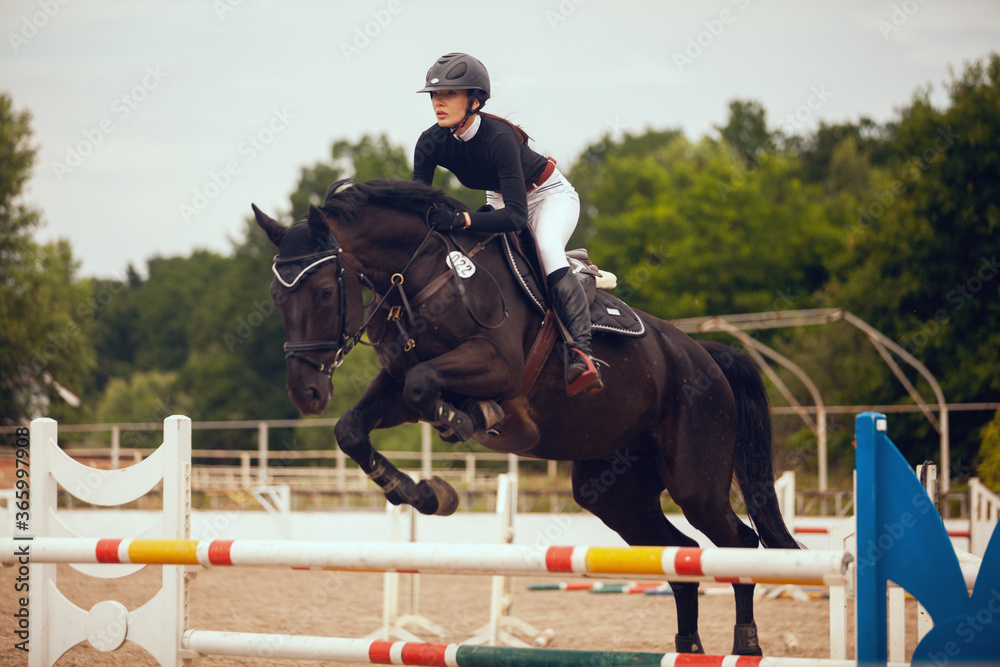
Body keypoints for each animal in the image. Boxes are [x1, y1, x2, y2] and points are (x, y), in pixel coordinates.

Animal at [254, 177, 800, 656]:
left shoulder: (494, 364)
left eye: (325, 292)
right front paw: (425, 493)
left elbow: (426, 386)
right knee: (678, 553)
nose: (307, 393)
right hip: (613, 493)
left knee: (737, 544)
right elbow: (353, 428)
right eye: (276, 298)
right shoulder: (395, 386)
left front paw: (470, 420)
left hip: (695, 481)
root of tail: (707, 355)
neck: (423, 273)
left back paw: (745, 645)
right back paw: (689, 649)